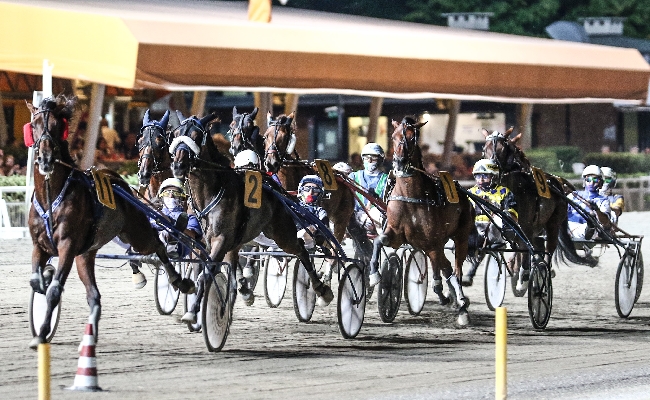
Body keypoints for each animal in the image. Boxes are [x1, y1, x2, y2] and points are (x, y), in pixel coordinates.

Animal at [24, 95, 195, 348]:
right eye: (33, 126)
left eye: (58, 126)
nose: (45, 159)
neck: (51, 196)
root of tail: (119, 181)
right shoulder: (39, 245)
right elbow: (37, 282)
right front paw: (44, 280)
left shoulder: (67, 246)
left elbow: (54, 290)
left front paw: (42, 332)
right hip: (86, 254)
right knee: (94, 295)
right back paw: (91, 334)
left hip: (137, 232)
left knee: (158, 246)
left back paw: (179, 281)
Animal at [167, 110, 334, 316]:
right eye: (175, 134)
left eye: (197, 136)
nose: (178, 165)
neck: (210, 192)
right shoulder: (207, 240)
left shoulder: (221, 239)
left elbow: (209, 272)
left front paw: (194, 311)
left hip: (282, 233)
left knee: (301, 249)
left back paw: (321, 289)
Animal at [368, 115, 474, 324]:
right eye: (393, 136)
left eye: (411, 137)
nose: (399, 163)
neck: (411, 197)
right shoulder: (396, 234)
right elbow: (378, 241)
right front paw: (375, 275)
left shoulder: (432, 241)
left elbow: (441, 276)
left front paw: (450, 299)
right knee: (445, 267)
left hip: (460, 237)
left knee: (455, 269)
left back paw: (461, 305)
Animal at [478, 126, 596, 282]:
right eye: (484, 148)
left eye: (503, 149)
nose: (491, 173)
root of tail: (558, 183)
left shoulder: (526, 227)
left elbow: (523, 251)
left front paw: (523, 274)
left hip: (552, 224)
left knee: (548, 250)